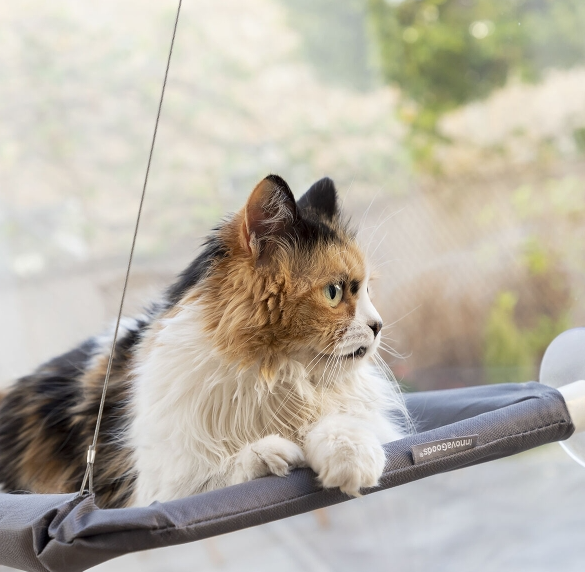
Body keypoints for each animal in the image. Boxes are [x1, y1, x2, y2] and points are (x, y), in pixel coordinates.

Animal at [0, 173, 406, 504]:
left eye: (367, 290)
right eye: (334, 293)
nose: (378, 325)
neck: (273, 377)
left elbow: (341, 423)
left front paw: (351, 458)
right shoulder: (154, 488)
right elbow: (218, 473)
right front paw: (271, 454)